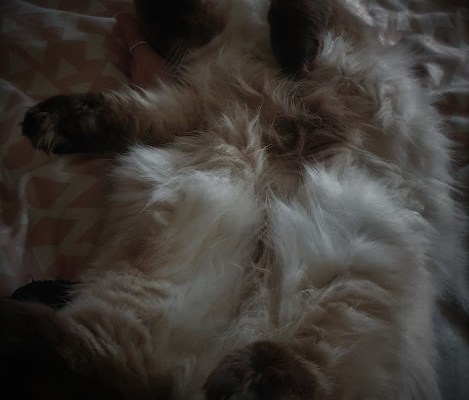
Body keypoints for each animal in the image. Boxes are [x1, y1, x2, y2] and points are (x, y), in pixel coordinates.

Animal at [1, 0, 467, 399]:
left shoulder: (329, 29)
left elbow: (293, 19)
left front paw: (292, 51)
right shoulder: (189, 99)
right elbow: (119, 109)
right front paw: (46, 124)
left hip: (352, 279)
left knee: (310, 378)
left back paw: (248, 378)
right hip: (159, 277)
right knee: (108, 369)